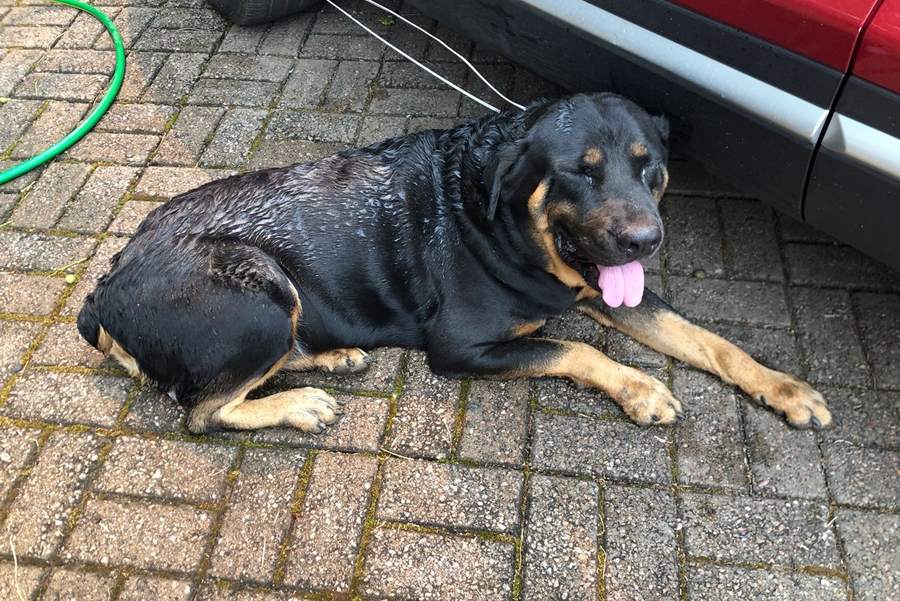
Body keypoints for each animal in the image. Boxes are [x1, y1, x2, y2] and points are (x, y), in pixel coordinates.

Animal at [81, 92, 832, 432]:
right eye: (580, 172)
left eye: (651, 166)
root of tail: (103, 287)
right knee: (203, 410)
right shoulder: (463, 344)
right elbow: (576, 350)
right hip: (262, 293)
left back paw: (331, 358)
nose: (647, 240)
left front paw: (784, 387)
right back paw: (297, 401)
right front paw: (639, 387)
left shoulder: (614, 290)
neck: (502, 219)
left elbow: (711, 340)